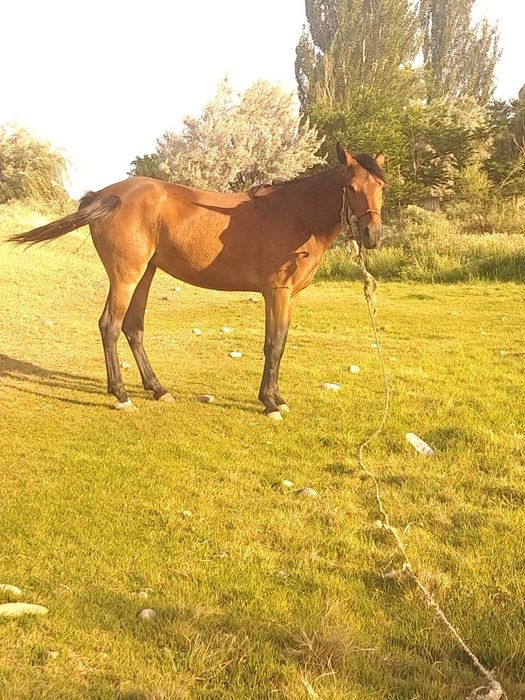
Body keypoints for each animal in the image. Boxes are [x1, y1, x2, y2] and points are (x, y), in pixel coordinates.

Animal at [9, 143, 386, 419]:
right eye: (351, 187)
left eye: (381, 186)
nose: (373, 234)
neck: (294, 214)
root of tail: (106, 195)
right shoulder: (276, 292)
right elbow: (273, 344)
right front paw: (269, 402)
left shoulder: (290, 296)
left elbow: (280, 343)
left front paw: (277, 397)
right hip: (126, 275)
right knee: (110, 326)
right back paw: (122, 394)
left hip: (145, 273)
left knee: (133, 328)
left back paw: (158, 389)